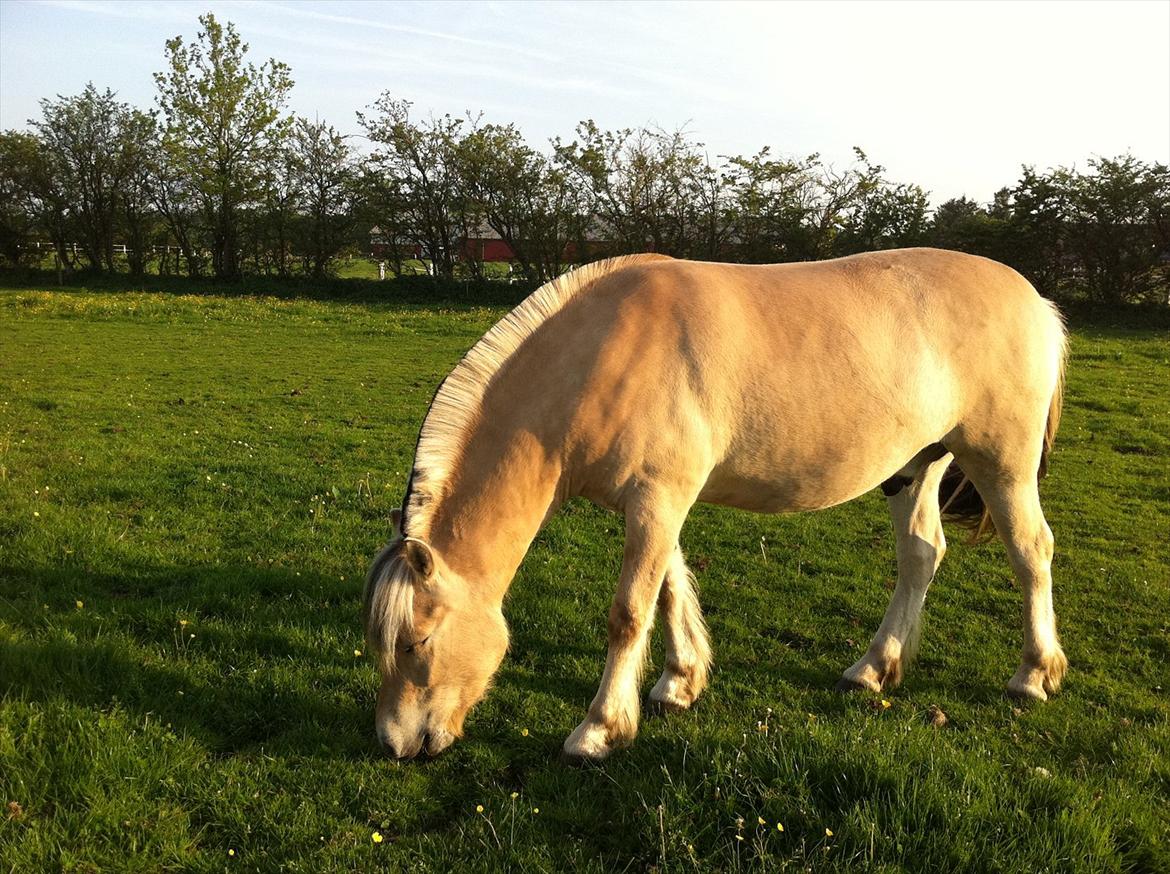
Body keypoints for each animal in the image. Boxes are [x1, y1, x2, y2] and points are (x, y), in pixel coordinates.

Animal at [360, 249, 1067, 762]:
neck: (602, 354)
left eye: (418, 642)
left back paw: (1034, 675)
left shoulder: (658, 498)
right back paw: (873, 668)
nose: (396, 745)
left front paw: (600, 730)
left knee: (1032, 553)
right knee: (921, 556)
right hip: (917, 466)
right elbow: (670, 590)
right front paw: (680, 682)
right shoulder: (658, 502)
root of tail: (1035, 300)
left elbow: (629, 614)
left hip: (1001, 463)